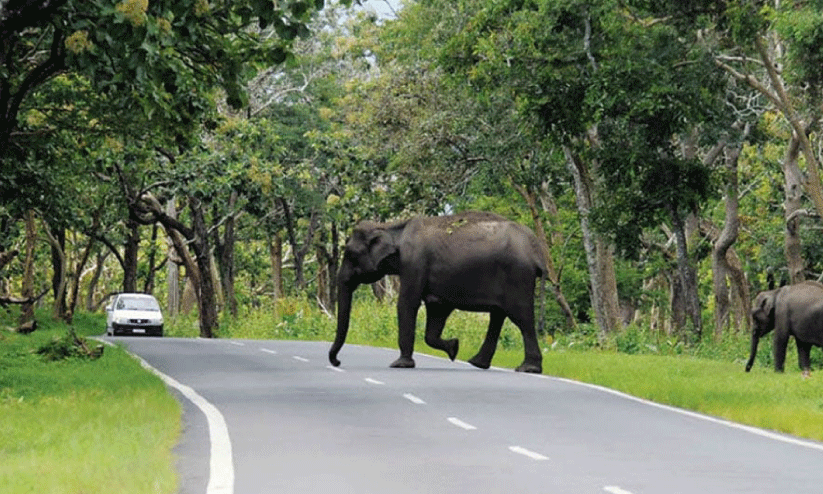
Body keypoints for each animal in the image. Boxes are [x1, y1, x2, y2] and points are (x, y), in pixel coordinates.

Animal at [328, 211, 546, 373]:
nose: (337, 362)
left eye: (350, 254)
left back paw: (527, 368)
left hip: (517, 276)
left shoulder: (414, 263)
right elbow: (436, 311)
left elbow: (407, 304)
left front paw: (400, 365)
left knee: (522, 318)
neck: (391, 227)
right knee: (498, 316)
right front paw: (454, 348)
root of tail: (536, 250)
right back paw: (477, 362)